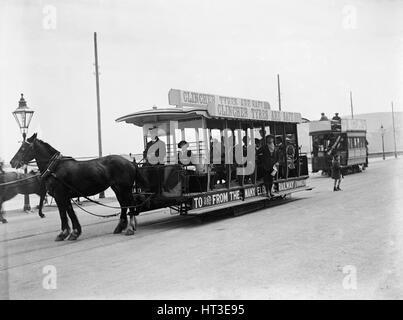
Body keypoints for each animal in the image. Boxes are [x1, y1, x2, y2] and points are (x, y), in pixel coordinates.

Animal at [10, 132, 140, 240]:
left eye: (23, 148)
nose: (12, 162)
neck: (54, 168)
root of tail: (129, 162)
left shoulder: (59, 195)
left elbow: (63, 214)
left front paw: (63, 233)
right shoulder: (65, 197)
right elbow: (70, 213)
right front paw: (74, 232)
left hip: (125, 189)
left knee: (130, 204)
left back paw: (130, 228)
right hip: (118, 189)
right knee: (123, 205)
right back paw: (121, 227)